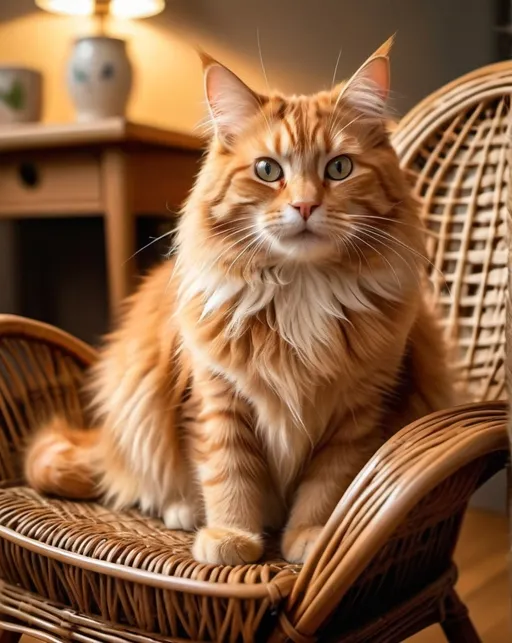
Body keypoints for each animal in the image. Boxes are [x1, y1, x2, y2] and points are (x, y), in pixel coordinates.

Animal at [26, 39, 454, 564]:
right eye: (268, 170)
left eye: (339, 168)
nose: (306, 205)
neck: (301, 292)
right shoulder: (216, 398)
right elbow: (228, 475)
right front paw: (231, 536)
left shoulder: (358, 413)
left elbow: (328, 486)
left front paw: (310, 536)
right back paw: (182, 511)